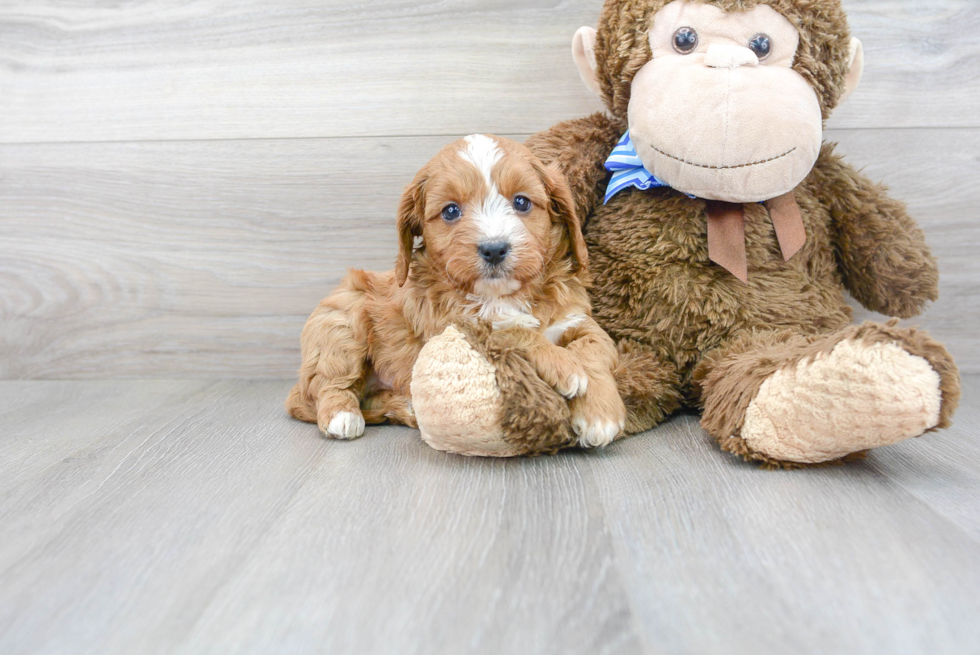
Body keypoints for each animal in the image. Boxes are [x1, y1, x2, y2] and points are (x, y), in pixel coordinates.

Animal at [286, 135, 628, 448]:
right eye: (450, 211)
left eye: (521, 202)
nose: (493, 249)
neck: (502, 296)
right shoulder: (453, 327)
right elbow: (512, 331)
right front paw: (563, 365)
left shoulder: (576, 321)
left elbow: (593, 349)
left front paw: (600, 414)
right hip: (341, 323)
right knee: (327, 386)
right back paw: (342, 416)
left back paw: (405, 406)